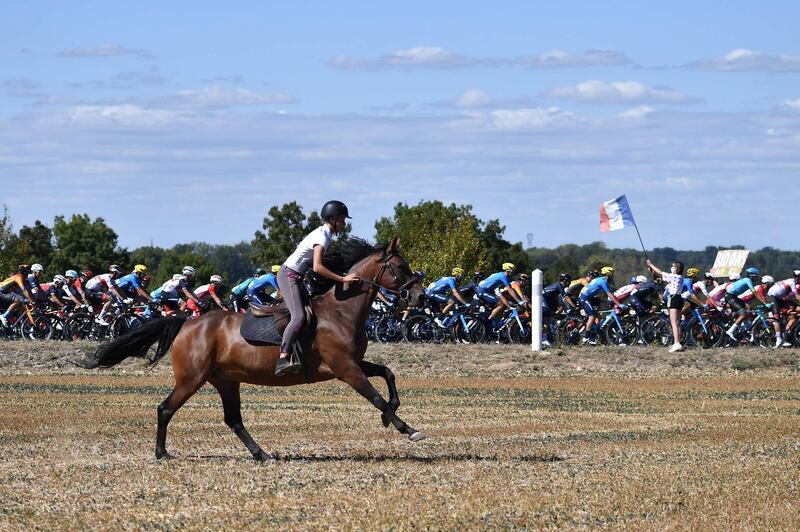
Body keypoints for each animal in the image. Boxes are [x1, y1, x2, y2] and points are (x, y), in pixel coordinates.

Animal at [82, 235, 428, 460]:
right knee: (165, 408)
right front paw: (407, 428)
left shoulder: (353, 362)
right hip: (192, 379)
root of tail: (186, 324)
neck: (341, 311)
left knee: (233, 420)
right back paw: (162, 453)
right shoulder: (345, 368)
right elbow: (375, 396)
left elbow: (388, 373)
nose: (419, 297)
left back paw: (262, 454)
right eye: (400, 266)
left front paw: (391, 416)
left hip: (226, 380)